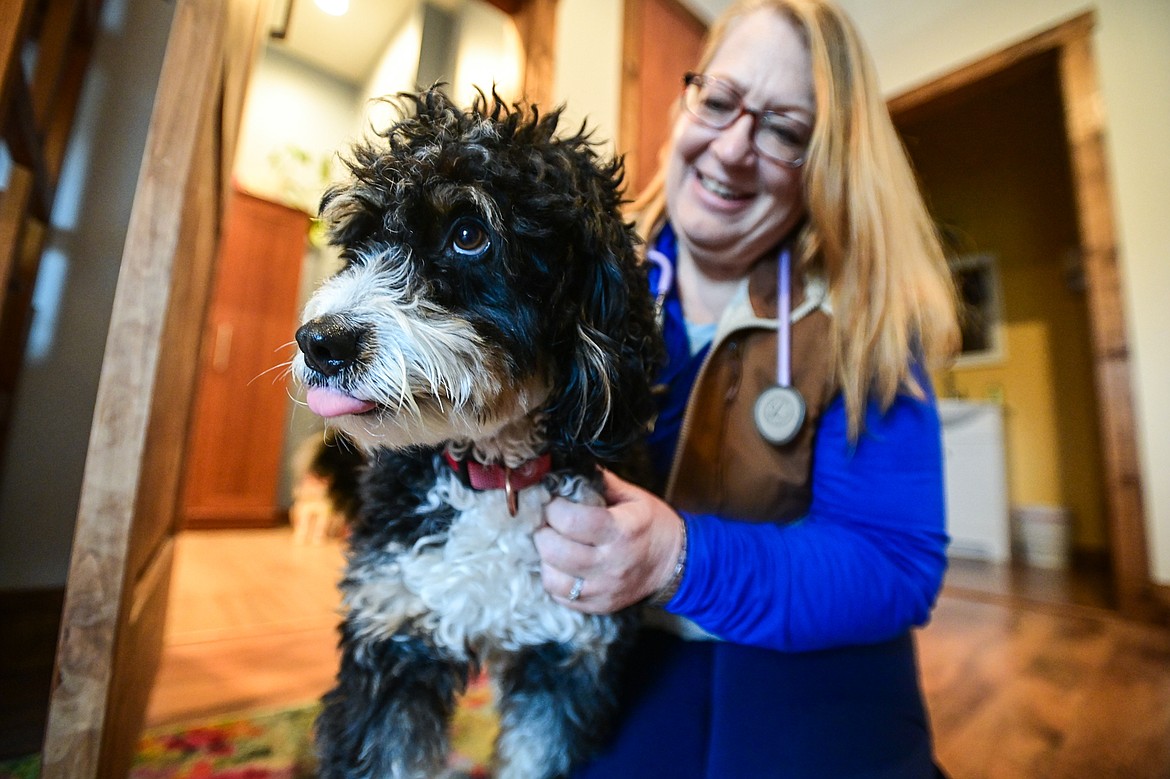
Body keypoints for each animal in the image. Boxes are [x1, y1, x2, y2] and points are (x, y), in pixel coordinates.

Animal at [292, 86, 664, 776]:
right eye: (360, 242)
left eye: (469, 234)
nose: (320, 342)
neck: (497, 475)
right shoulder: (393, 635)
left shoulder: (566, 660)